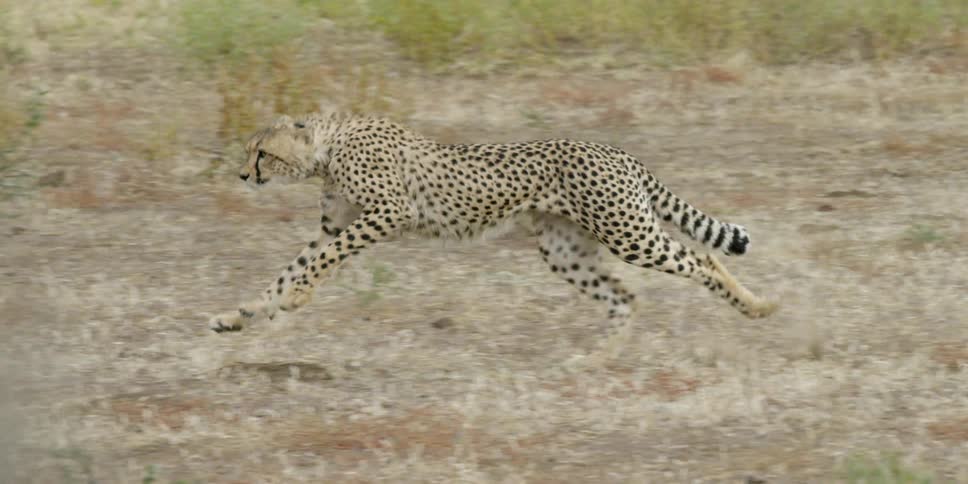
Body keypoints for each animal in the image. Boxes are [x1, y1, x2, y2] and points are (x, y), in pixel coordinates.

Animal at [207, 112, 777, 362]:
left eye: (262, 153)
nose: (242, 175)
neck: (328, 145)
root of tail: (617, 151)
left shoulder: (387, 214)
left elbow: (319, 264)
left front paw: (295, 299)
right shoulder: (333, 224)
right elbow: (288, 270)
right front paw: (239, 316)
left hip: (627, 231)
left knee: (702, 260)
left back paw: (757, 307)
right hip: (563, 249)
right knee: (625, 295)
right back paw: (595, 358)